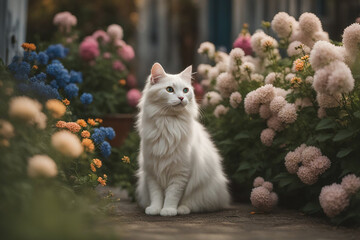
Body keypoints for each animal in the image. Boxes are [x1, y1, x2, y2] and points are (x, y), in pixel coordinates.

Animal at [136, 62, 229, 217]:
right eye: (169, 89)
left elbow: (172, 195)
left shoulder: (180, 173)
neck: (168, 123)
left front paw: (168, 210)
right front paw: (155, 209)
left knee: (194, 205)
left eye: (185, 90)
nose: (181, 98)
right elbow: (156, 195)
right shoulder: (152, 172)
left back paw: (182, 209)